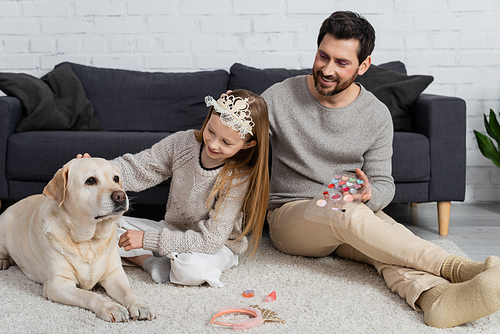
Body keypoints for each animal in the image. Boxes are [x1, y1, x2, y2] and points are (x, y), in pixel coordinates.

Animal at [0, 158, 154, 322]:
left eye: (116, 179)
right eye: (91, 180)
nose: (121, 196)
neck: (89, 241)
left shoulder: (114, 275)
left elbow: (129, 291)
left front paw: (140, 304)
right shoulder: (58, 285)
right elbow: (90, 295)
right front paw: (111, 307)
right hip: (5, 223)